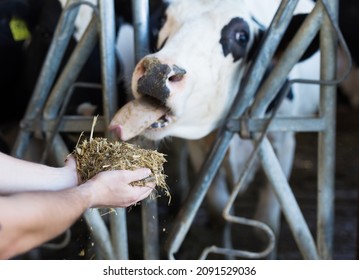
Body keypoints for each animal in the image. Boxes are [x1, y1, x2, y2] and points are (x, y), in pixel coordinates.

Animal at [108, 0, 320, 258]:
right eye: (163, 20)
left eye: (241, 36)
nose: (156, 73)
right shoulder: (200, 149)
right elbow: (219, 214)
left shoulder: (283, 142)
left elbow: (267, 224)